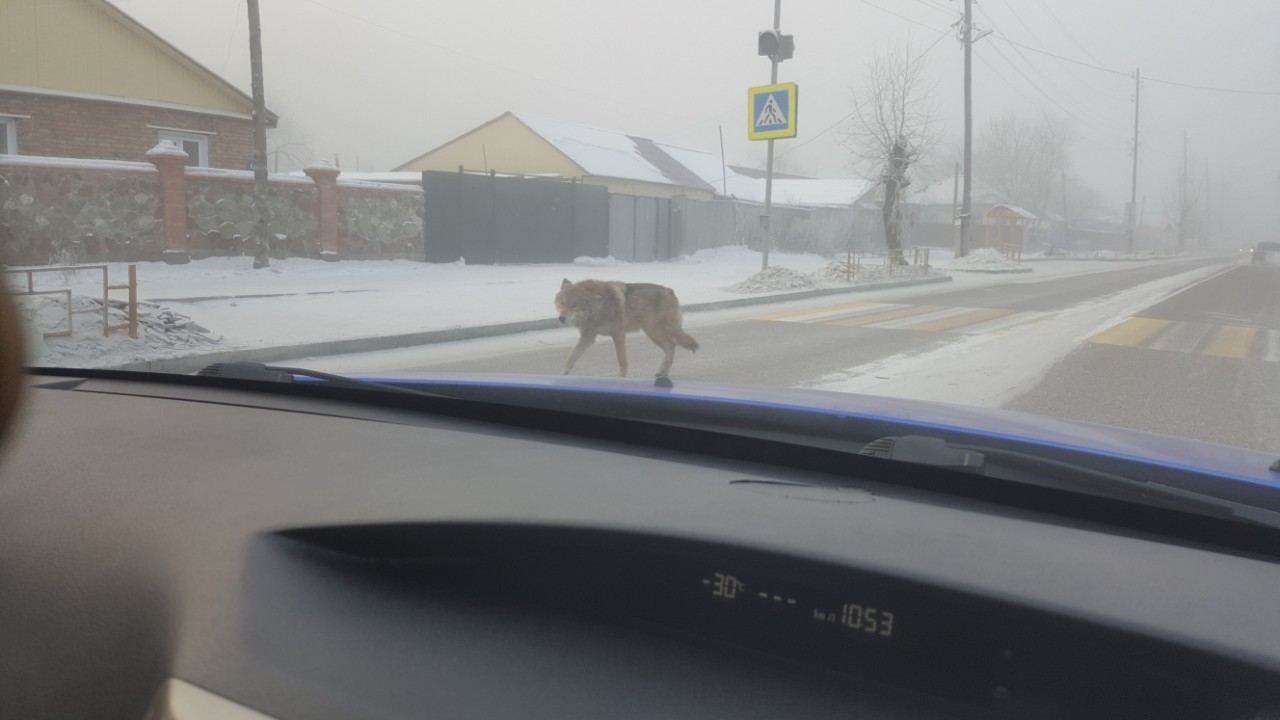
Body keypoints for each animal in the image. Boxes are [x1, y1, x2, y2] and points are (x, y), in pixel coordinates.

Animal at [555, 275, 701, 376]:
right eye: (562, 303)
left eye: (574, 306)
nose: (561, 318)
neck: (597, 308)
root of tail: (670, 291)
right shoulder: (588, 337)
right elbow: (571, 357)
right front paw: (563, 374)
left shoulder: (618, 334)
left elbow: (622, 360)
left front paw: (622, 379)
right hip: (653, 333)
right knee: (671, 347)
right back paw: (662, 372)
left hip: (655, 332)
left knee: (672, 346)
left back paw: (662, 371)